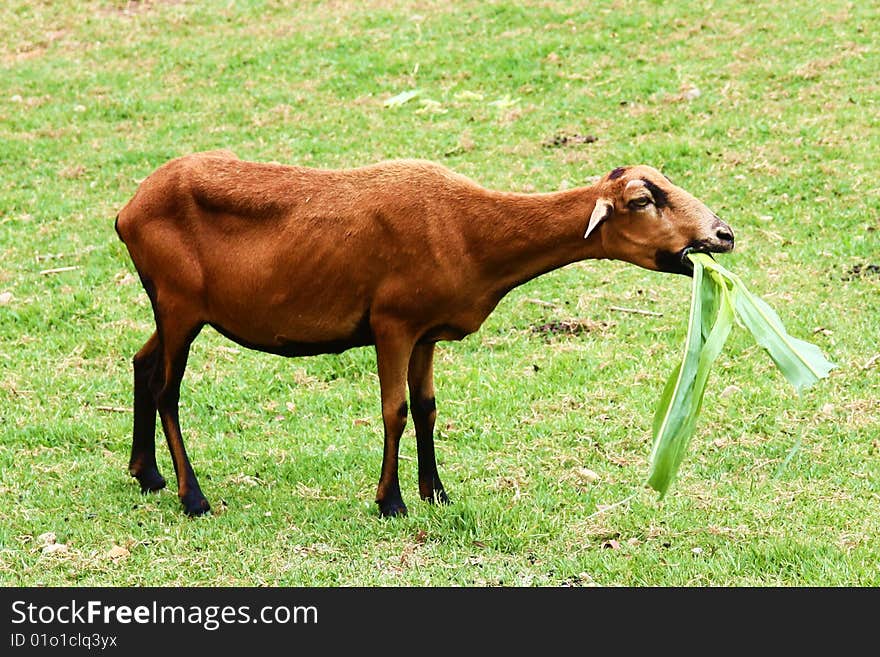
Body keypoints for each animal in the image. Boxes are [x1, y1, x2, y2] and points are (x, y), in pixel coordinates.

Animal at [117, 151, 736, 516]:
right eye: (642, 200)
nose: (724, 234)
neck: (473, 232)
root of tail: (128, 211)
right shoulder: (392, 323)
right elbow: (394, 410)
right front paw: (391, 502)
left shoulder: (427, 334)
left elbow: (428, 408)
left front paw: (436, 491)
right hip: (179, 304)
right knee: (168, 390)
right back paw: (192, 496)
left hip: (170, 307)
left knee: (142, 365)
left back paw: (146, 474)